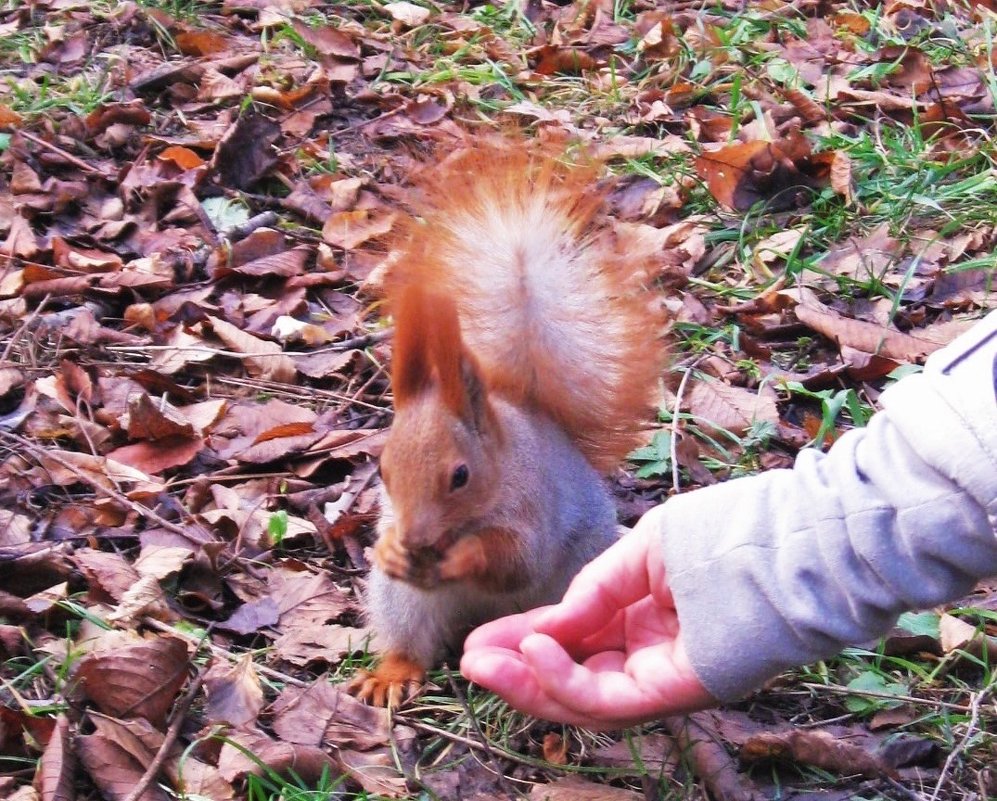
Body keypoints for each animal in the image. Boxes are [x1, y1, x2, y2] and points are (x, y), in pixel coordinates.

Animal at [346, 144, 664, 708]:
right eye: (381, 471)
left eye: (460, 476)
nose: (414, 537)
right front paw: (387, 548)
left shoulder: (534, 506)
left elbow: (516, 559)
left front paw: (461, 555)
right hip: (401, 601)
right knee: (409, 638)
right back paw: (393, 674)